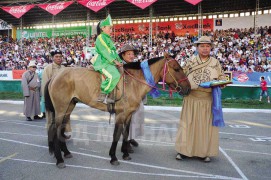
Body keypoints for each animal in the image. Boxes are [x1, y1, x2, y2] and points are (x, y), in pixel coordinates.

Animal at [44, 53, 191, 167]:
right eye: (176, 69)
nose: (188, 89)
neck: (133, 83)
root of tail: (55, 76)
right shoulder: (120, 115)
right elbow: (117, 135)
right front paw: (113, 157)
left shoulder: (129, 115)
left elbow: (125, 134)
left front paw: (125, 153)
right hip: (61, 108)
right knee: (55, 128)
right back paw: (59, 159)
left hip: (69, 106)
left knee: (60, 127)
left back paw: (66, 152)